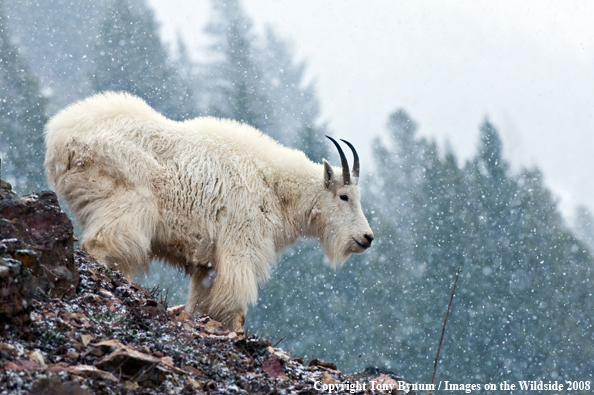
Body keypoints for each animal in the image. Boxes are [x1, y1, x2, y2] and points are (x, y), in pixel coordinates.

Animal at [44, 92, 372, 332]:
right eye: (344, 196)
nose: (367, 237)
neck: (275, 187)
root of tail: (59, 140)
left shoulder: (207, 265)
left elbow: (203, 303)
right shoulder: (240, 246)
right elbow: (235, 303)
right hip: (127, 202)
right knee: (102, 245)